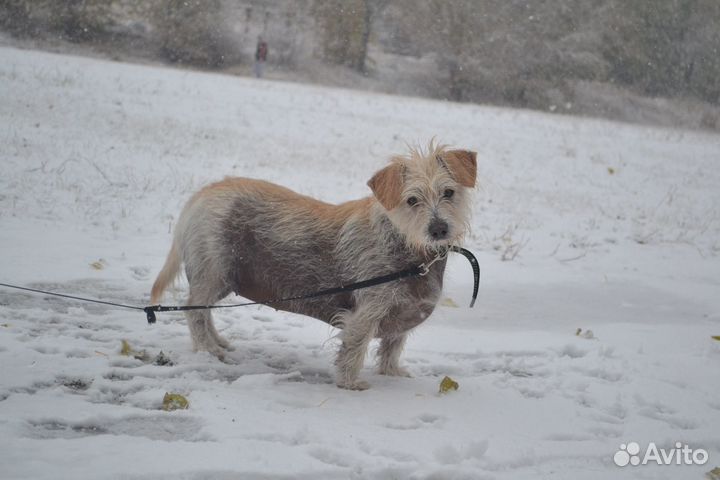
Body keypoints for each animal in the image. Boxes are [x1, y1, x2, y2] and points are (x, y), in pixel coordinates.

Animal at [150, 142, 478, 390]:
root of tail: (202, 195)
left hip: (221, 280)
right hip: (213, 273)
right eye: (411, 200)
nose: (439, 229)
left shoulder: (400, 319)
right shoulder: (365, 313)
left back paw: (219, 343)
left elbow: (391, 348)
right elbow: (353, 348)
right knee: (194, 311)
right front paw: (350, 384)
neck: (411, 250)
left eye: (448, 192)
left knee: (203, 312)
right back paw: (209, 350)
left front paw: (392, 374)